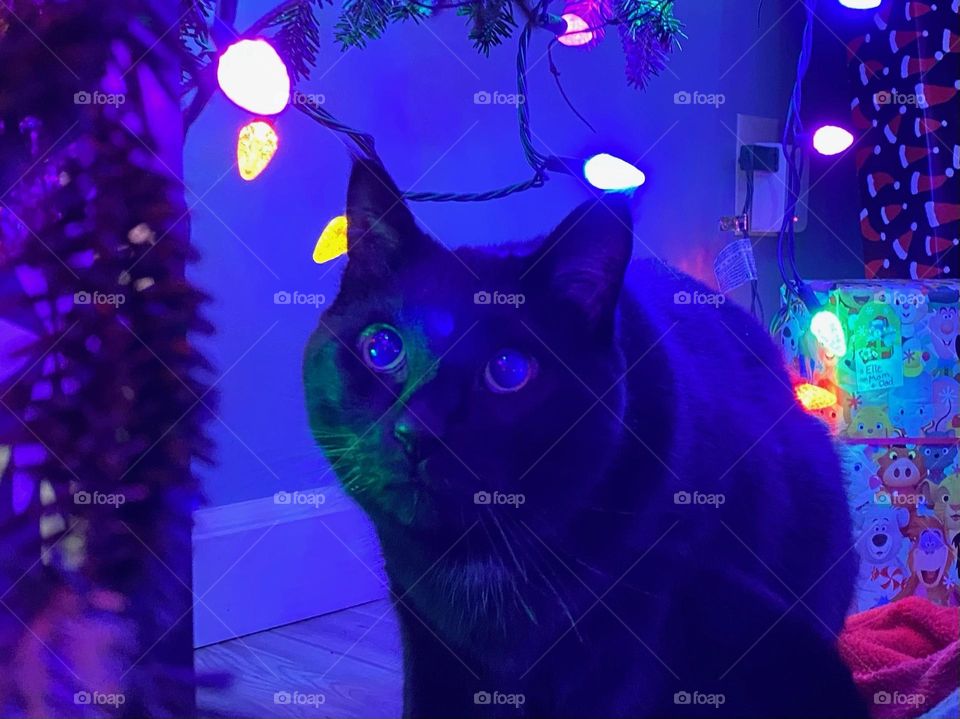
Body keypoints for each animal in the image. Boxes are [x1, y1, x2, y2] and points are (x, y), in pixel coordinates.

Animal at [304, 162, 868, 719]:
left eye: (508, 370)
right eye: (381, 347)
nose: (417, 430)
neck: (483, 555)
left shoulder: (634, 627)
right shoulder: (423, 625)